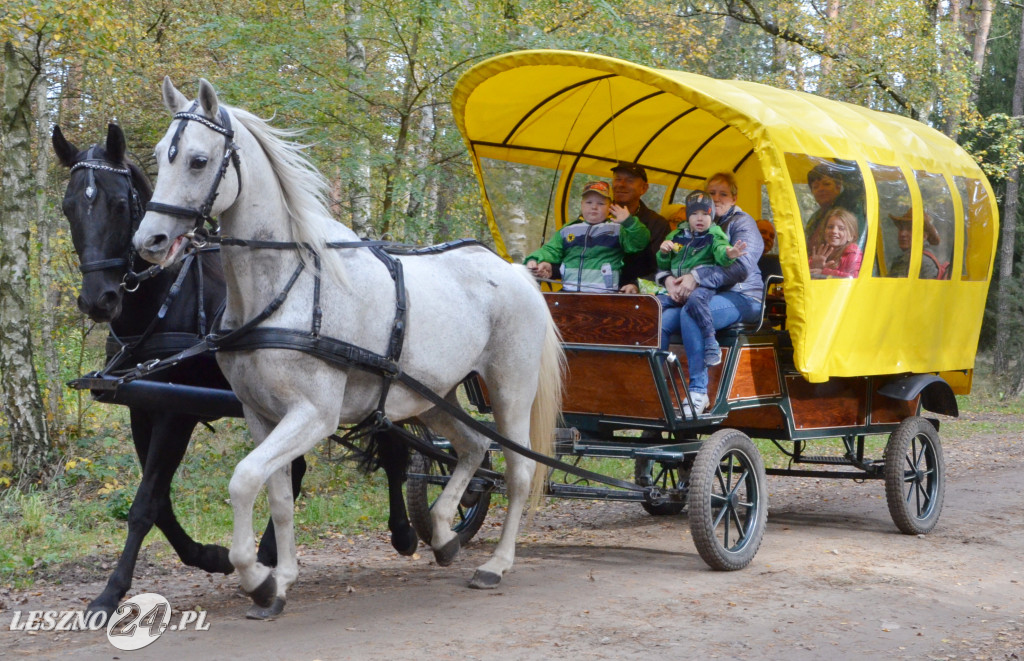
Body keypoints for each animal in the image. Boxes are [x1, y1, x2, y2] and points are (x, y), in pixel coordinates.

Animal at [54, 125, 415, 622]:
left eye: (121, 204)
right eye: (69, 206)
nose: (98, 299)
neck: (168, 299)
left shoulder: (177, 413)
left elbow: (146, 502)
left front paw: (111, 592)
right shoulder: (143, 407)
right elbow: (159, 502)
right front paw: (212, 556)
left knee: (397, 452)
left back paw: (405, 531)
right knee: (295, 469)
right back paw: (267, 556)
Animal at [132, 78, 565, 622]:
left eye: (197, 160)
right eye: (157, 155)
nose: (149, 240)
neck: (286, 288)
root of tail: (514, 271)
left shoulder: (314, 415)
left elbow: (244, 479)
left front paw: (255, 577)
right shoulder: (261, 415)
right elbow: (278, 499)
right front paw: (281, 582)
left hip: (510, 390)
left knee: (518, 471)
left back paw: (497, 564)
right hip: (430, 396)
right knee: (472, 446)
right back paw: (444, 533)